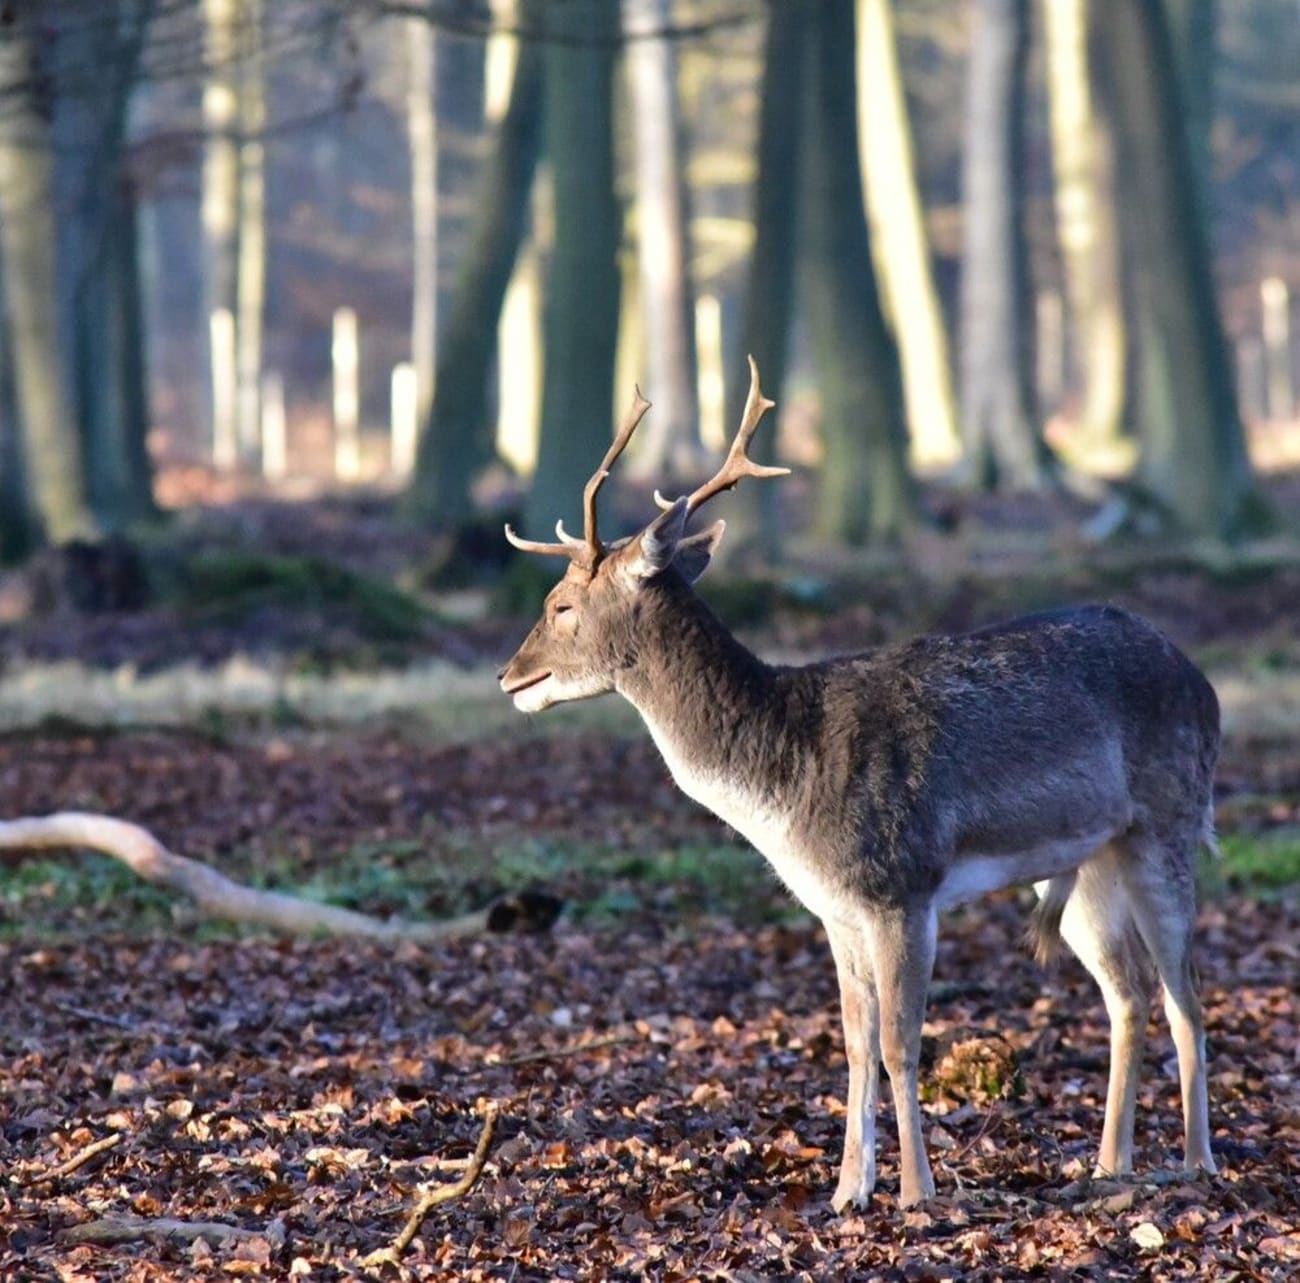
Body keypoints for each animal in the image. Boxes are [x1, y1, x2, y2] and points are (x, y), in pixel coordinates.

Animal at [496, 356, 1216, 1211]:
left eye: (561, 604)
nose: (509, 675)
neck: (786, 785)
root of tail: (1205, 683)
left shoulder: (899, 884)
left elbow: (902, 1043)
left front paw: (917, 1190)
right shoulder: (835, 908)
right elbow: (853, 1043)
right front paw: (847, 1189)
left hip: (1169, 821)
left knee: (1186, 989)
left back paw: (1197, 1160)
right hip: (1088, 862)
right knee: (1128, 991)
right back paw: (1109, 1163)